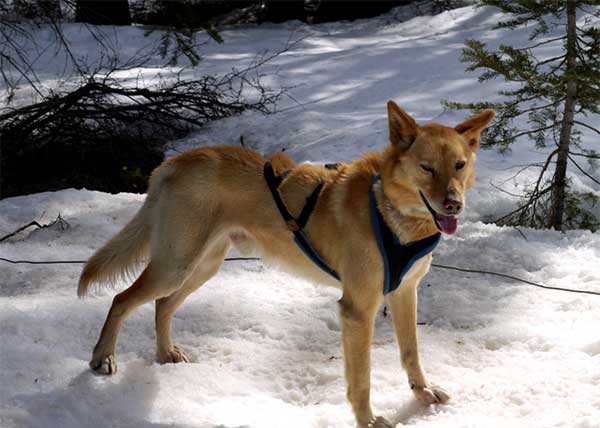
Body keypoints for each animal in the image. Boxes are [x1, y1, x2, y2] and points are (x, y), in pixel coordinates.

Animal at [78, 101, 492, 428]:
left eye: (459, 165)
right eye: (427, 168)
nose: (454, 204)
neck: (390, 211)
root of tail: (174, 162)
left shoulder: (405, 293)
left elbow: (411, 353)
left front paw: (421, 393)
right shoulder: (357, 310)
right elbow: (361, 380)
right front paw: (369, 420)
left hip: (202, 266)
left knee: (162, 305)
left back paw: (165, 353)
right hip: (175, 265)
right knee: (121, 299)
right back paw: (103, 357)